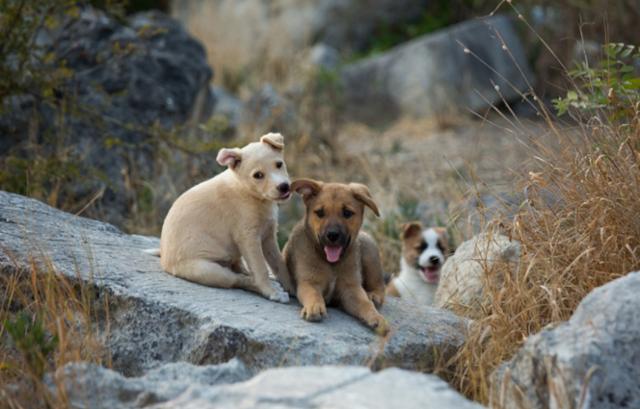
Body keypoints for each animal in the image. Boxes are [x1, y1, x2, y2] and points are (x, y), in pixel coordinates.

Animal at [157, 132, 292, 302]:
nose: (284, 187)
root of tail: (164, 261)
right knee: (236, 279)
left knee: (238, 267)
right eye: (258, 175)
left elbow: (279, 264)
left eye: (279, 164)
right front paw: (271, 291)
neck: (250, 193)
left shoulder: (268, 235)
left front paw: (293, 288)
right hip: (207, 270)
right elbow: (260, 267)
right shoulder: (248, 237)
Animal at [284, 178, 390, 334]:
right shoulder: (308, 282)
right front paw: (315, 307)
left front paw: (376, 317)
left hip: (368, 249)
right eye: (320, 212)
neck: (331, 264)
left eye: (347, 213)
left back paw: (373, 295)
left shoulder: (351, 289)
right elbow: (313, 294)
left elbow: (365, 304)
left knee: (379, 285)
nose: (332, 235)